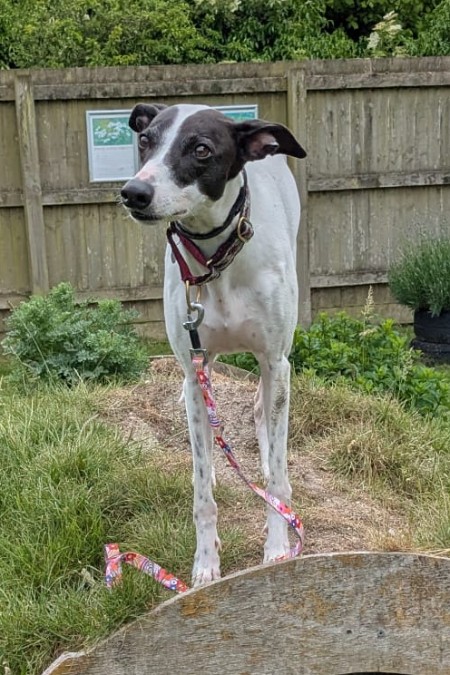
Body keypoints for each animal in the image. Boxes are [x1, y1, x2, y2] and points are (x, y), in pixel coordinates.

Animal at [121, 103, 306, 586]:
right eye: (145, 139)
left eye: (201, 149)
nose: (133, 193)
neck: (217, 261)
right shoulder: (193, 367)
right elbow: (201, 488)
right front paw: (205, 563)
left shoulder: (276, 361)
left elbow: (278, 479)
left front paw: (277, 548)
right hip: (203, 364)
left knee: (263, 413)